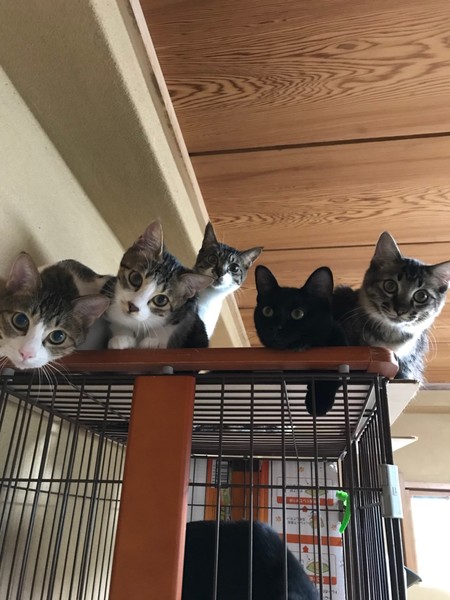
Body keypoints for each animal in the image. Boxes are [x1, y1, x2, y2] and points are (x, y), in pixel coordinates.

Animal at [106, 221, 212, 349]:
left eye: (161, 300)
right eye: (136, 278)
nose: (132, 306)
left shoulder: (188, 310)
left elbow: (171, 326)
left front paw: (153, 341)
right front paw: (121, 336)